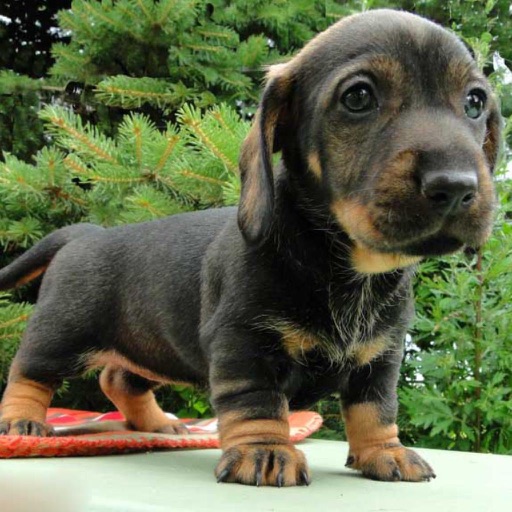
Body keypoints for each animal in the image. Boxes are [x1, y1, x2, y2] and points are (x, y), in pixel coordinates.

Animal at [0, 10, 500, 486]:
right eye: (358, 97)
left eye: (475, 102)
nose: (457, 187)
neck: (349, 266)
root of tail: (86, 233)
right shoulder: (244, 343)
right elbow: (257, 402)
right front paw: (265, 451)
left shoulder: (379, 358)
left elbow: (375, 409)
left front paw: (385, 452)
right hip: (61, 332)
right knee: (28, 371)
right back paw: (21, 421)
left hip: (149, 345)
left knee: (119, 378)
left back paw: (159, 423)